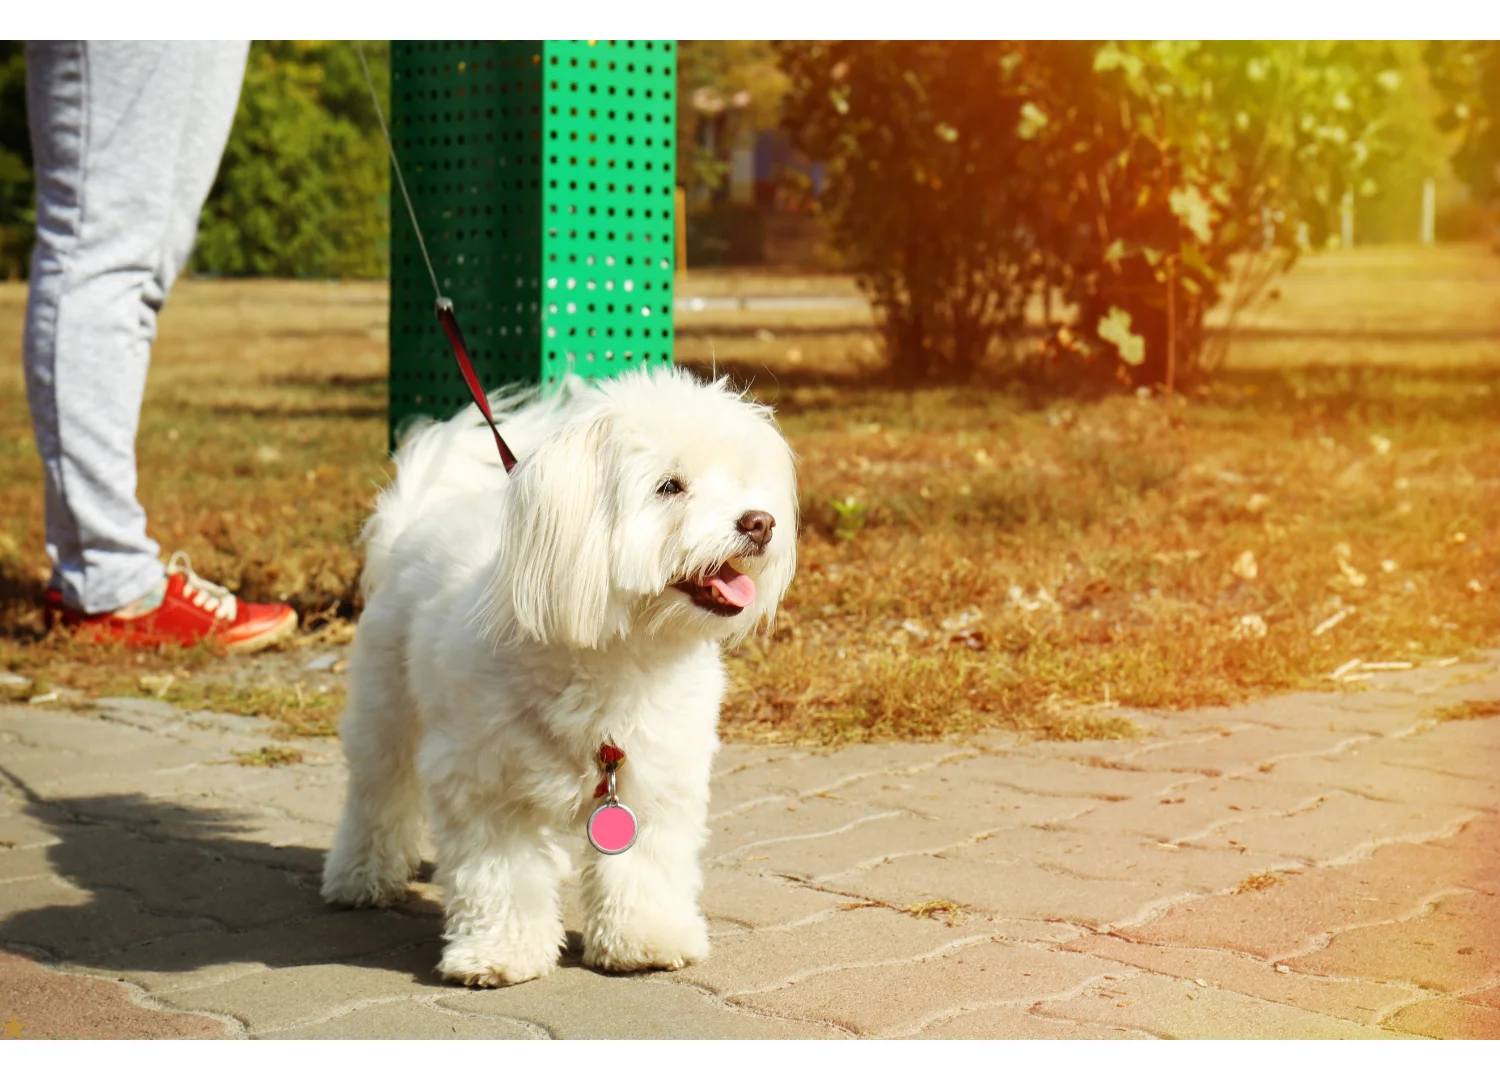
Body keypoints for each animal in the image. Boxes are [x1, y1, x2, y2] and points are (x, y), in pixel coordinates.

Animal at [324, 369, 804, 990]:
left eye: (741, 482)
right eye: (669, 486)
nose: (760, 522)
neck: (618, 654)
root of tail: (415, 524)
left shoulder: (657, 779)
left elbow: (646, 866)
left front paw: (645, 938)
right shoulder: (483, 783)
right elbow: (499, 875)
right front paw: (500, 952)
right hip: (386, 710)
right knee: (377, 793)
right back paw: (361, 876)